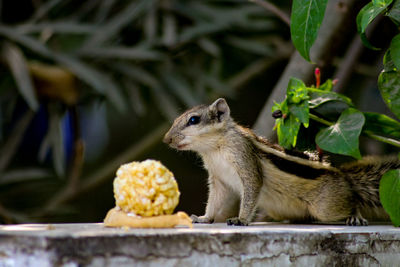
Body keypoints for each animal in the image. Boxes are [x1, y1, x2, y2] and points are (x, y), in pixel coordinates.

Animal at [162, 98, 400, 226]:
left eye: (194, 120)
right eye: (176, 119)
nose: (166, 139)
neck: (213, 149)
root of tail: (345, 178)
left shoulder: (245, 160)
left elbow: (251, 189)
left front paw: (241, 220)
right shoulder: (218, 179)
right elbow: (214, 200)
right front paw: (204, 218)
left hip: (327, 206)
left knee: (351, 204)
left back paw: (355, 218)